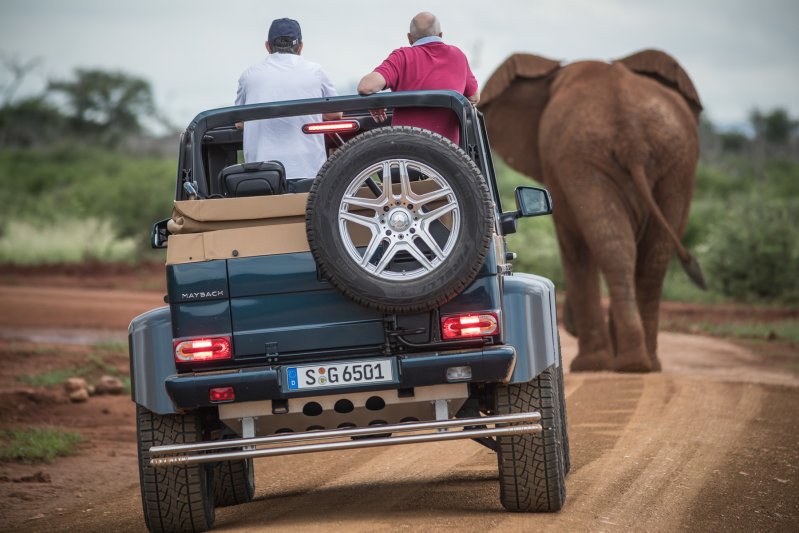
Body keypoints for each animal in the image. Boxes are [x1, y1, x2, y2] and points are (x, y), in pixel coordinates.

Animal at [478, 51, 704, 370]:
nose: (569, 324)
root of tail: (630, 130)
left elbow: (573, 244)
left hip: (667, 159)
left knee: (641, 254)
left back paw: (634, 364)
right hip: (617, 159)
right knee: (630, 251)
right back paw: (635, 363)